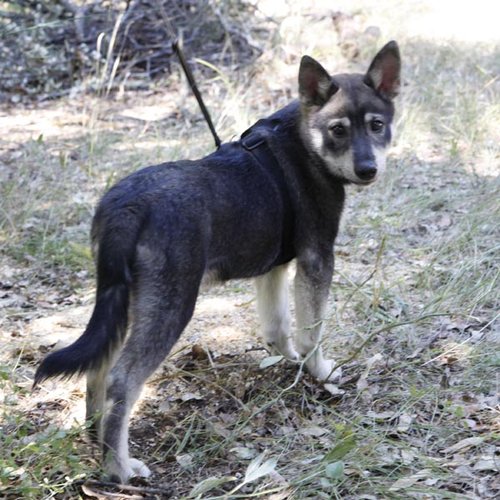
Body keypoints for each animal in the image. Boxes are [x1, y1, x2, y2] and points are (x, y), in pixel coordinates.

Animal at [35, 41, 400, 483]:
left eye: (376, 125)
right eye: (338, 130)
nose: (368, 169)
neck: (303, 142)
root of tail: (128, 206)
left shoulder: (274, 269)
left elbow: (278, 327)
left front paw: (289, 361)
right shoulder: (316, 260)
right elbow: (311, 332)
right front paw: (320, 373)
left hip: (121, 304)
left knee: (98, 370)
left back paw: (95, 438)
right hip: (171, 307)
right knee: (122, 381)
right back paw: (118, 467)